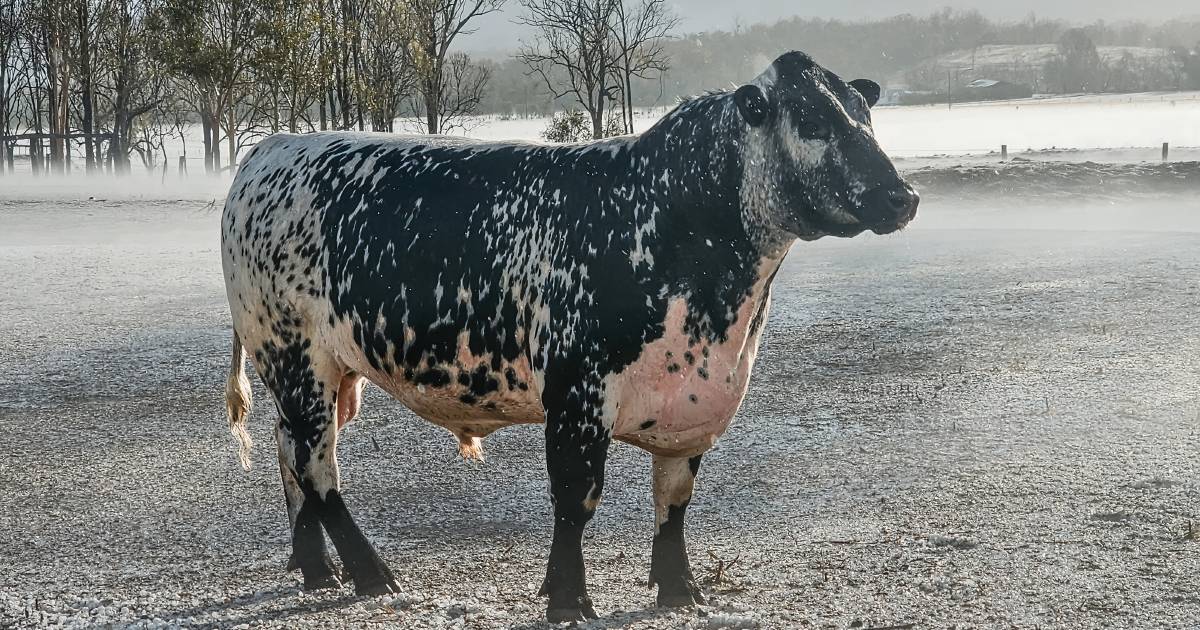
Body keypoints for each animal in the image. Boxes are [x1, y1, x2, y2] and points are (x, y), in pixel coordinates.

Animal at [223, 51, 916, 619]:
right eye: (813, 120)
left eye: (864, 114)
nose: (901, 195)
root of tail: (271, 148)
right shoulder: (577, 393)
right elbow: (576, 500)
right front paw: (568, 599)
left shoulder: (694, 404)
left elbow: (675, 501)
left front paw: (679, 590)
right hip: (294, 355)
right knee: (315, 467)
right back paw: (371, 574)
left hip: (324, 371)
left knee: (289, 453)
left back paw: (316, 569)